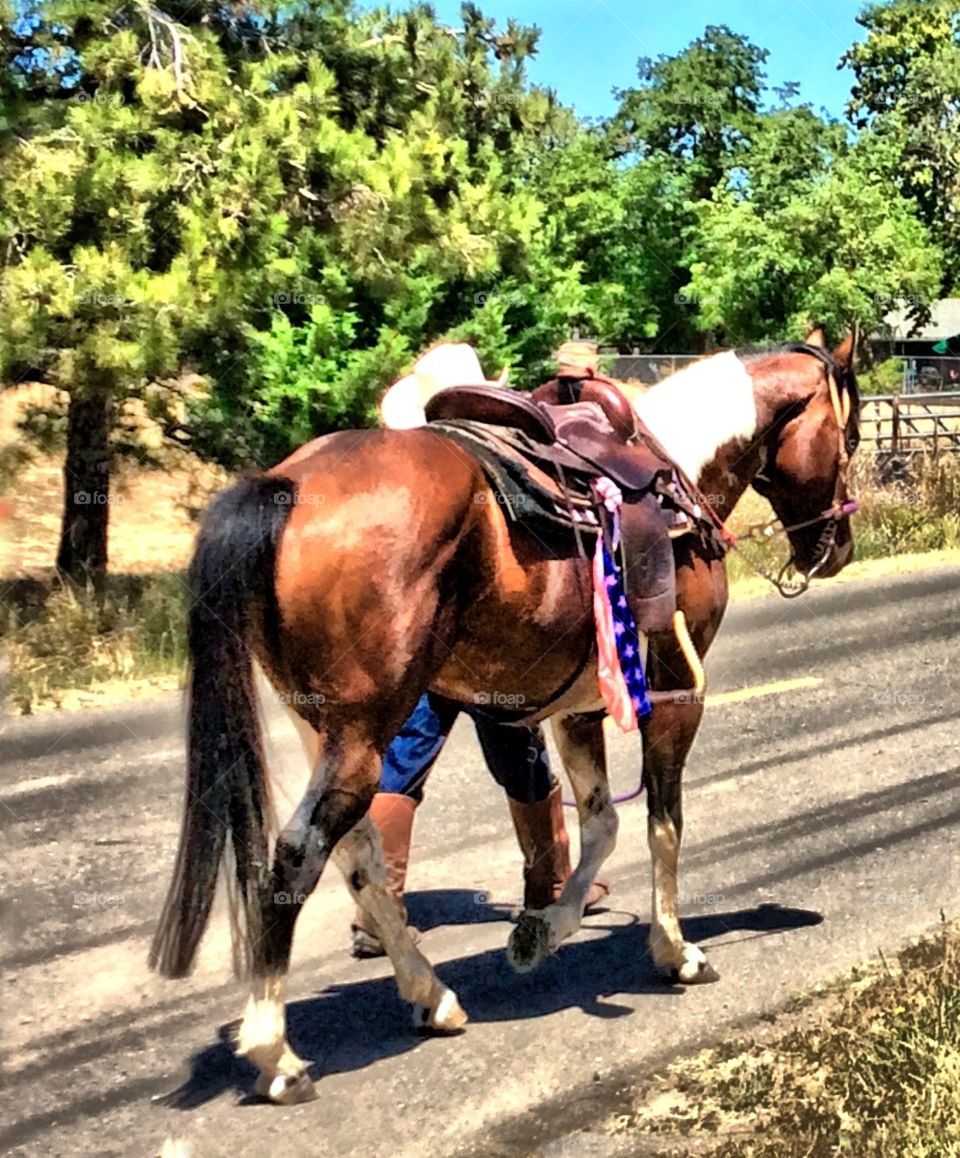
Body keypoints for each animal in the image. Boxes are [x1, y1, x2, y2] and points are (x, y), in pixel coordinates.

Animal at [151, 328, 861, 1102]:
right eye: (850, 432)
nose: (837, 547)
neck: (677, 470)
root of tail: (287, 486)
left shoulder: (576, 710)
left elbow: (601, 824)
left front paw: (541, 931)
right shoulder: (676, 693)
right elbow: (662, 822)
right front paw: (676, 951)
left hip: (327, 731)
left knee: (361, 850)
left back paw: (430, 995)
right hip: (363, 732)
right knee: (300, 854)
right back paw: (274, 1054)